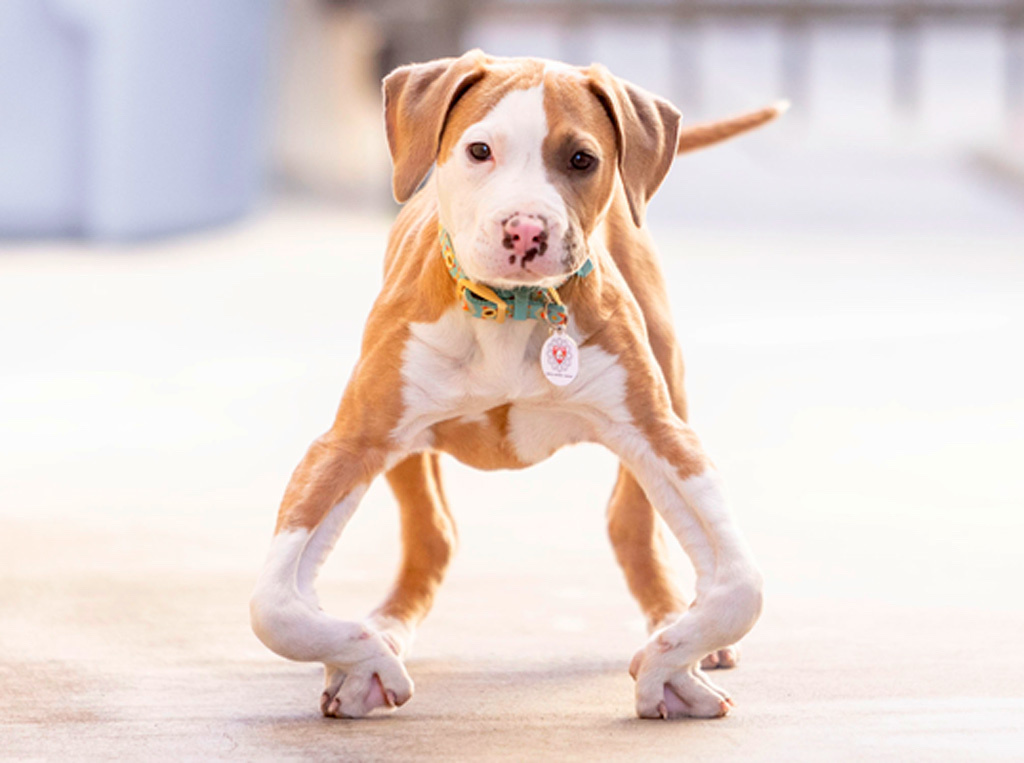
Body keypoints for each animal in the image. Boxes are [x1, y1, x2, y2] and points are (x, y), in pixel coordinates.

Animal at [247, 50, 782, 716]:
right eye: (480, 151)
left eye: (581, 159)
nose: (525, 231)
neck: (510, 310)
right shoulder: (349, 443)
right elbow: (273, 606)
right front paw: (363, 657)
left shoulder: (663, 435)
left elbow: (742, 586)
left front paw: (668, 663)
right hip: (401, 450)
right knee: (434, 535)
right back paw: (386, 631)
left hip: (668, 387)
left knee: (630, 526)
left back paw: (670, 633)